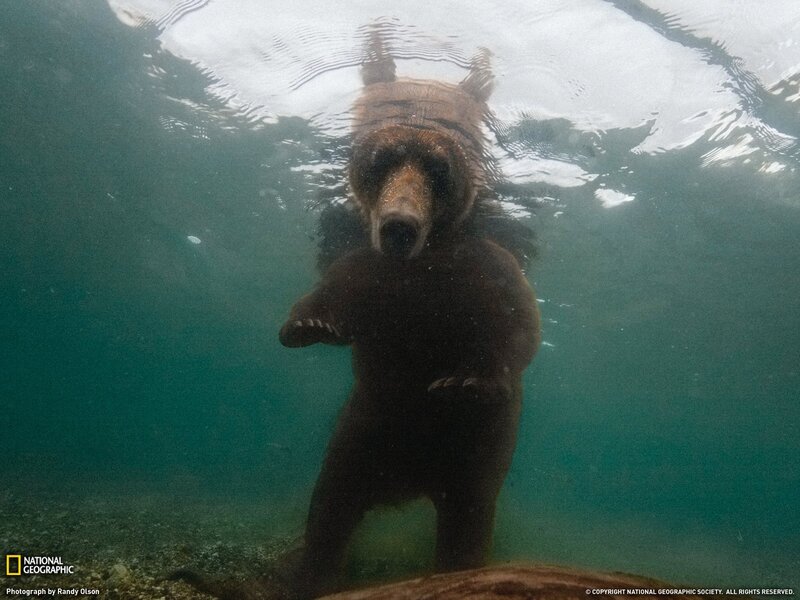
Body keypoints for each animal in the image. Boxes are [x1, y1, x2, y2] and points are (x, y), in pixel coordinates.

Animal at [278, 36, 541, 599]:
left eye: (437, 169)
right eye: (381, 161)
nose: (399, 224)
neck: (422, 266)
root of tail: (409, 483)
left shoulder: (484, 270)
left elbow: (516, 328)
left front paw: (467, 379)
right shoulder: (370, 273)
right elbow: (332, 296)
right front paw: (308, 326)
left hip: (472, 452)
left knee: (467, 518)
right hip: (365, 428)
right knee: (332, 503)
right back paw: (310, 572)